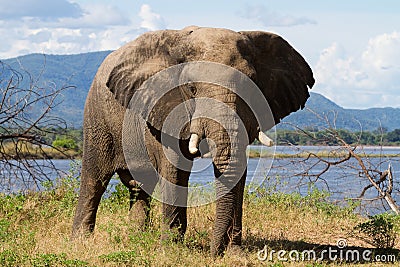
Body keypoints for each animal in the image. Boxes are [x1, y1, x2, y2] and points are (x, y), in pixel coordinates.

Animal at [72, 25, 316, 258]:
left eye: (251, 86)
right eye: (191, 88)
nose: (215, 252)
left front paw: (235, 253)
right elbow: (175, 170)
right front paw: (170, 251)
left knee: (140, 187)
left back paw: (137, 237)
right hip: (97, 116)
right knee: (95, 179)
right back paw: (82, 240)